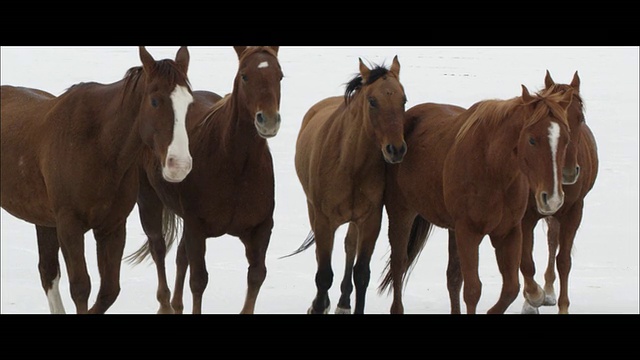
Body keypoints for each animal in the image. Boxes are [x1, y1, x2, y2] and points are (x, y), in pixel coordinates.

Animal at [1, 47, 194, 312]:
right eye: (155, 101)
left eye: (189, 102)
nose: (180, 165)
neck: (98, 145)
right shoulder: (69, 226)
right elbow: (81, 287)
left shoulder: (112, 227)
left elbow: (109, 291)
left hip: (44, 220)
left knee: (47, 272)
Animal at [126, 46, 282, 314]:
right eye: (244, 76)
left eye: (280, 76)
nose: (269, 120)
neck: (237, 167)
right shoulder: (197, 228)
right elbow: (199, 281)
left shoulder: (261, 228)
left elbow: (256, 276)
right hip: (149, 200)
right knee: (159, 248)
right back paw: (166, 303)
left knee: (180, 256)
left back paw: (176, 305)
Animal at [288, 54, 408, 314]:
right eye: (372, 101)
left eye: (404, 100)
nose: (396, 149)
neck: (351, 165)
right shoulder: (324, 221)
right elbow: (323, 274)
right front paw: (318, 306)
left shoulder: (370, 220)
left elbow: (361, 273)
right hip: (314, 211)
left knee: (349, 246)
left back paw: (343, 302)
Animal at [378, 84, 572, 312]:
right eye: (532, 139)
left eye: (566, 140)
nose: (552, 198)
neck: (493, 169)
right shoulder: (468, 233)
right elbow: (472, 291)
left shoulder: (508, 232)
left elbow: (511, 288)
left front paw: (534, 295)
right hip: (402, 214)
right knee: (399, 264)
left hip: (453, 230)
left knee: (452, 277)